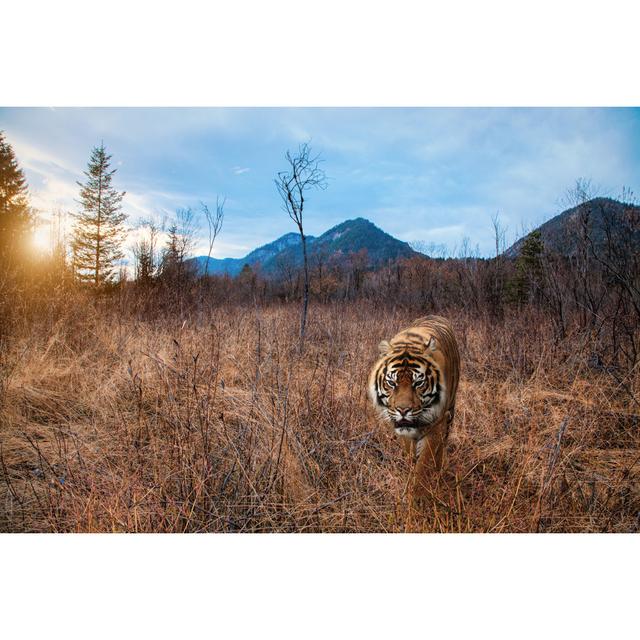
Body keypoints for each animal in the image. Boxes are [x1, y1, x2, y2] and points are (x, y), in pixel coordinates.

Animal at [370, 316, 460, 490]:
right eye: (391, 383)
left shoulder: (437, 424)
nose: (403, 410)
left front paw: (418, 494)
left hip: (450, 411)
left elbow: (424, 466)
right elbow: (410, 453)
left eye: (418, 383)